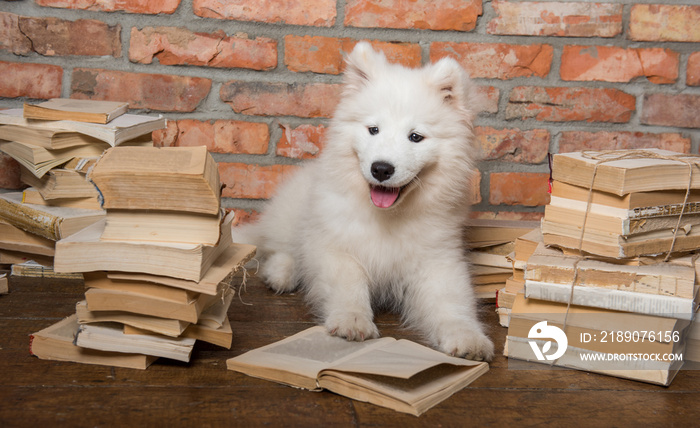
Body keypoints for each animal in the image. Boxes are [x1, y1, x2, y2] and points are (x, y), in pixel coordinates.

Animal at [238, 41, 494, 362]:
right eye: (373, 130)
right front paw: (352, 320)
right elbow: (349, 284)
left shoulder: (438, 259)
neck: (388, 217)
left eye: (415, 137)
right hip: (292, 214)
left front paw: (468, 338)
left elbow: (452, 302)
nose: (381, 169)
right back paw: (281, 273)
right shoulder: (338, 246)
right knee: (281, 247)